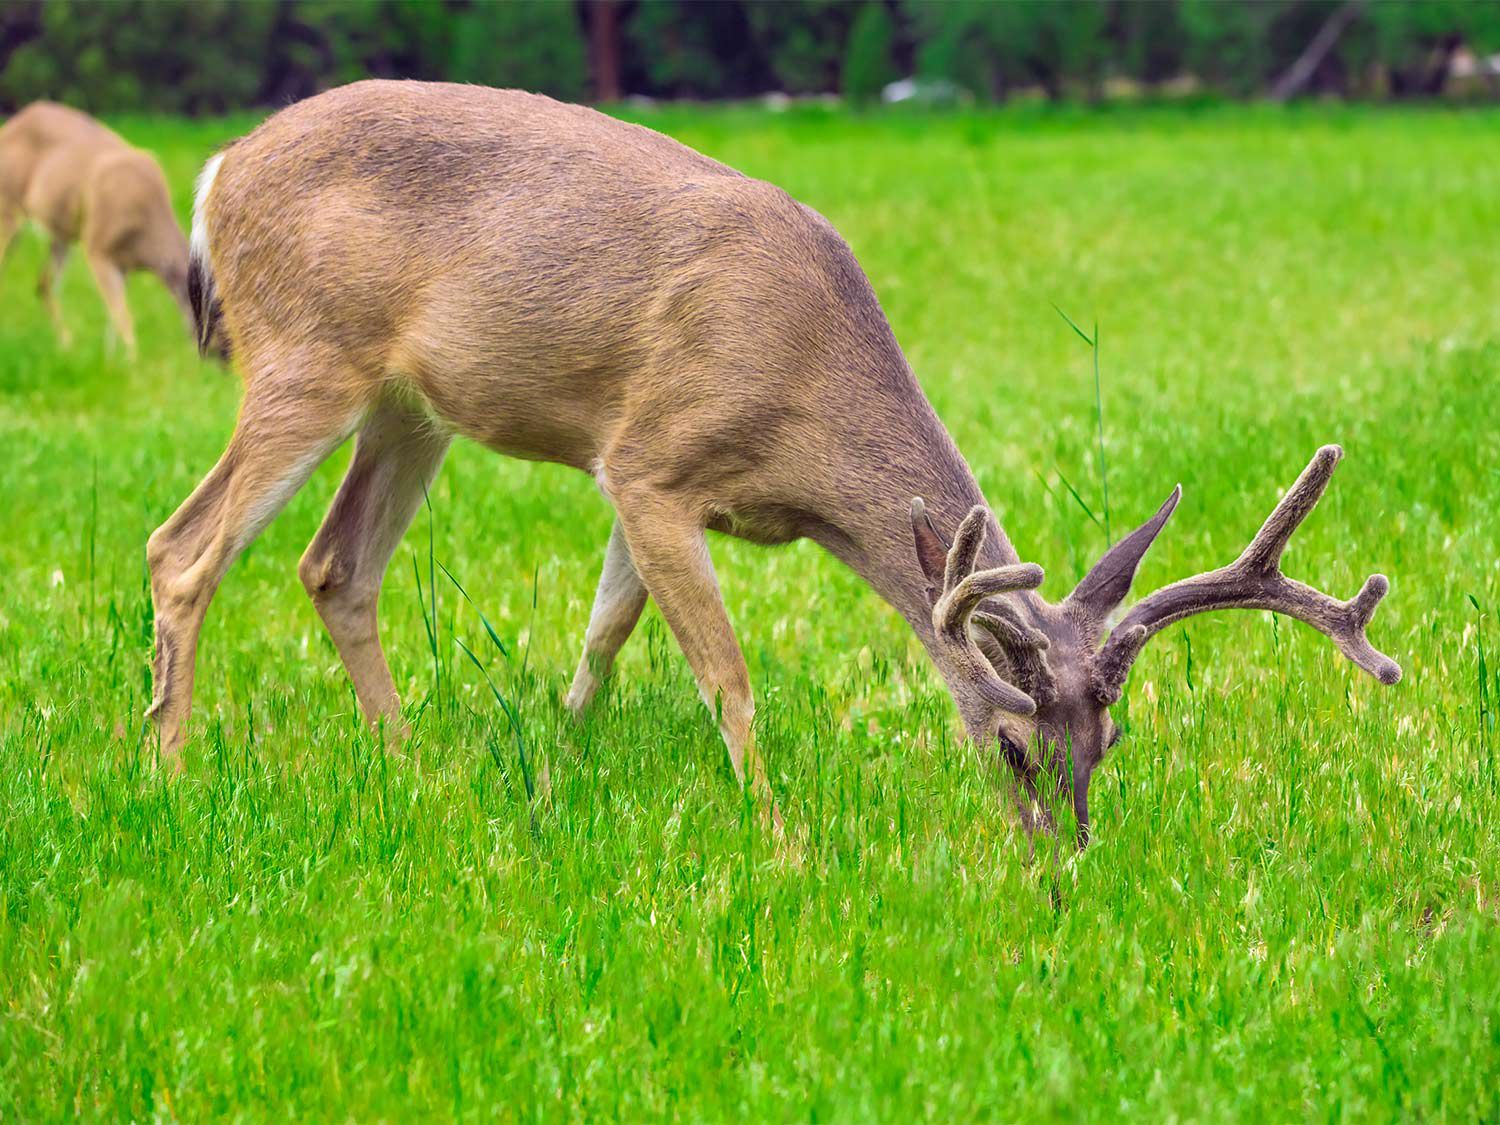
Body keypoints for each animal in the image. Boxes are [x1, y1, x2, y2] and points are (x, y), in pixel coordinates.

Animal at [0, 105, 193, 357]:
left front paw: (111, 357)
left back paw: (66, 344)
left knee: (44, 284)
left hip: (62, 232)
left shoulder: (122, 262)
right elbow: (123, 314)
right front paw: (133, 359)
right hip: (8, 206)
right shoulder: (97, 248)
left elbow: (113, 315)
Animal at [146, 81, 1398, 846]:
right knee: (182, 549)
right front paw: (777, 833)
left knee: (333, 566)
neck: (805, 411)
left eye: (1112, 739)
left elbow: (603, 637)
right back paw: (168, 769)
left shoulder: (631, 473)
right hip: (306, 354)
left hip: (411, 408)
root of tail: (216, 173)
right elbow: (726, 673)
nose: (1066, 852)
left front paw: (557, 770)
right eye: (1010, 742)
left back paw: (410, 769)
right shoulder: (651, 462)